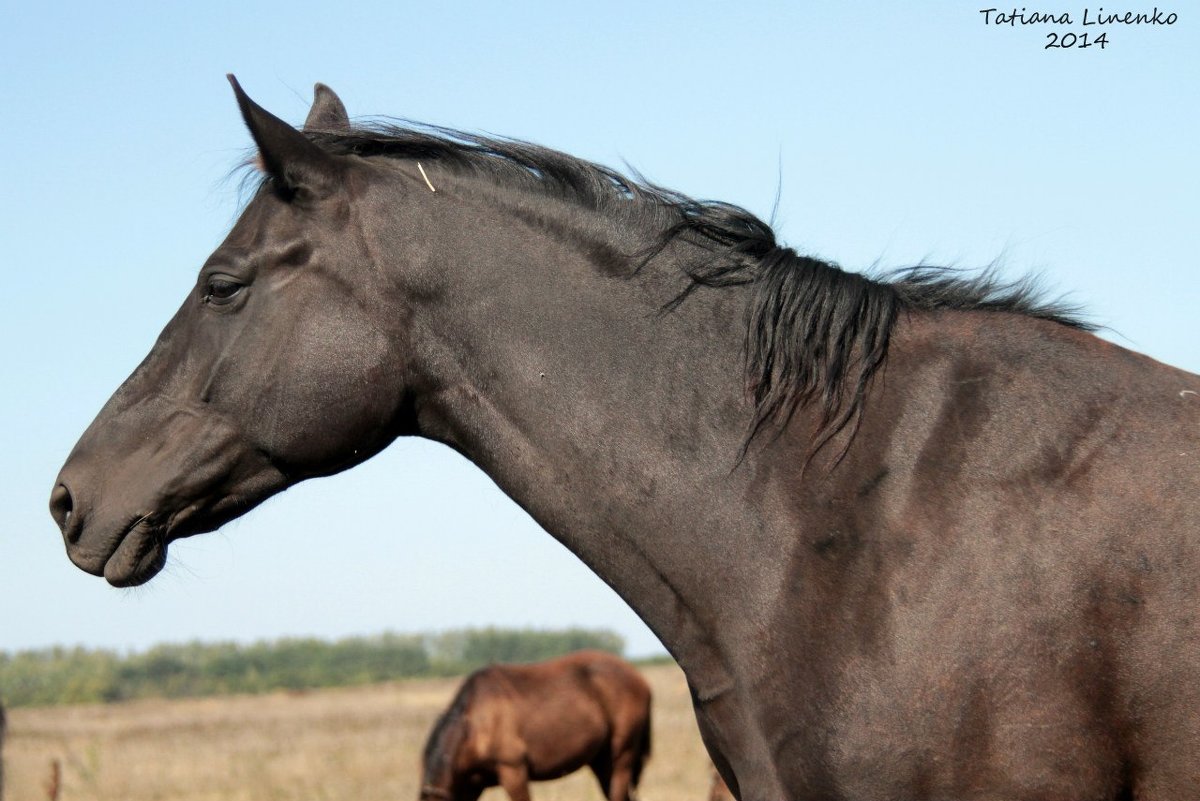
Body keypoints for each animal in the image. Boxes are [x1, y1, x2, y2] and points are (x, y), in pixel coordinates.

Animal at [420, 652, 652, 801]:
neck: (475, 727)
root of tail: (640, 680)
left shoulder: (514, 772)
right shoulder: (471, 786)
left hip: (621, 756)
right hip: (602, 762)